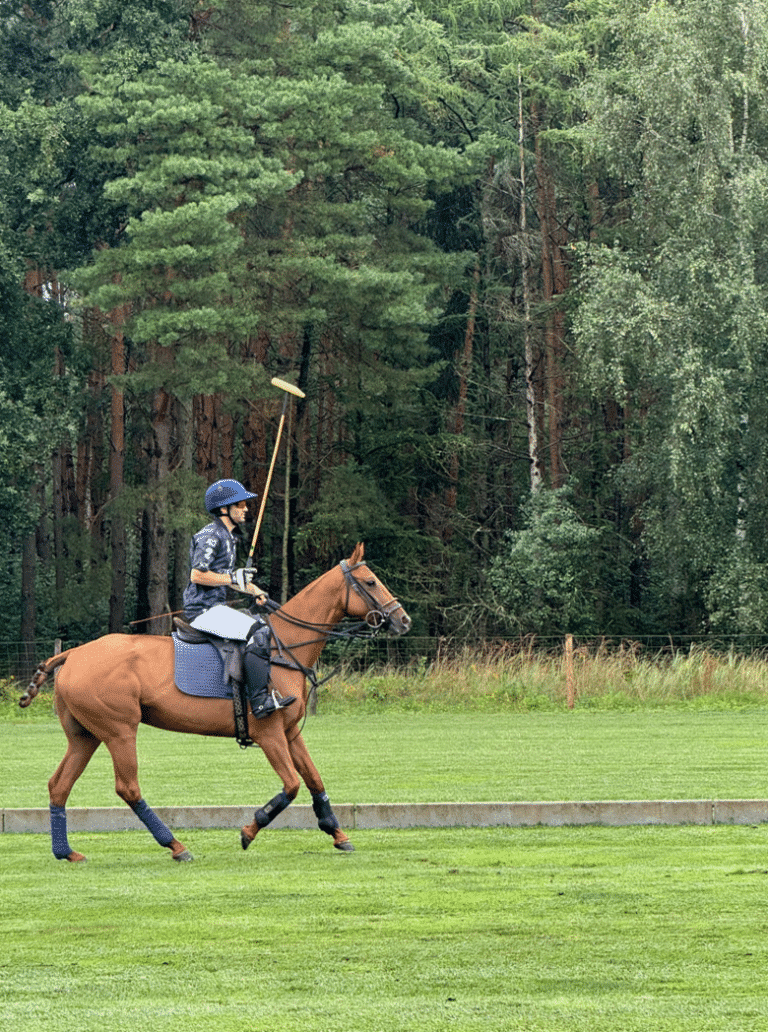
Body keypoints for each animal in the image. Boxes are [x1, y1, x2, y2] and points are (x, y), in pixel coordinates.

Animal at [18, 544, 408, 858]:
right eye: (370, 582)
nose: (403, 620)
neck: (283, 648)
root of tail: (71, 654)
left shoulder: (290, 732)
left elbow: (314, 779)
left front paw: (338, 833)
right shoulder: (269, 733)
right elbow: (292, 785)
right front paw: (250, 829)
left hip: (85, 735)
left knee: (59, 785)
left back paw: (67, 852)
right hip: (118, 730)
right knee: (127, 787)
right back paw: (176, 846)